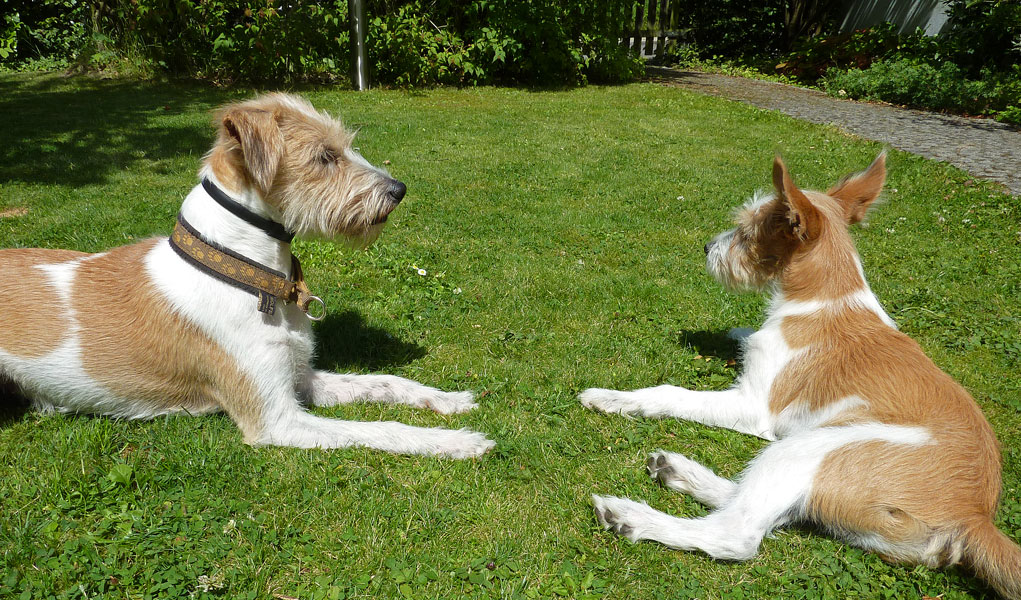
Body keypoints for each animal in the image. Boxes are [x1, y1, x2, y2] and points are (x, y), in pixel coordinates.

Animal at [0, 93, 494, 459]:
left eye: (346, 146)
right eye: (324, 156)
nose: (399, 190)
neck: (249, 274)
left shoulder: (299, 378)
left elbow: (384, 382)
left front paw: (448, 400)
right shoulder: (277, 419)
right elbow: (378, 428)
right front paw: (455, 441)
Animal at [580, 154, 1021, 596]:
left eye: (746, 232)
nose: (707, 248)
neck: (826, 300)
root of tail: (972, 518)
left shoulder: (753, 405)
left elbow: (671, 392)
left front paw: (612, 397)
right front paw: (738, 333)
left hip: (813, 448)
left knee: (737, 533)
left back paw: (632, 516)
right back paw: (678, 471)